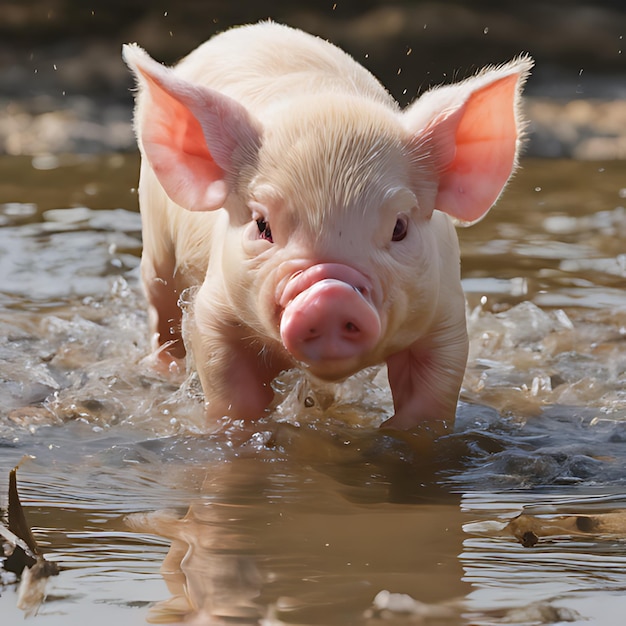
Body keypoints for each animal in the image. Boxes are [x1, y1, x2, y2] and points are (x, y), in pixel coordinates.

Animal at [123, 20, 532, 428]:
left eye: (399, 227)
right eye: (262, 225)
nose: (330, 294)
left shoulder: (445, 315)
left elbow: (429, 401)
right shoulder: (216, 308)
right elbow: (232, 392)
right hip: (156, 249)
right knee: (161, 309)